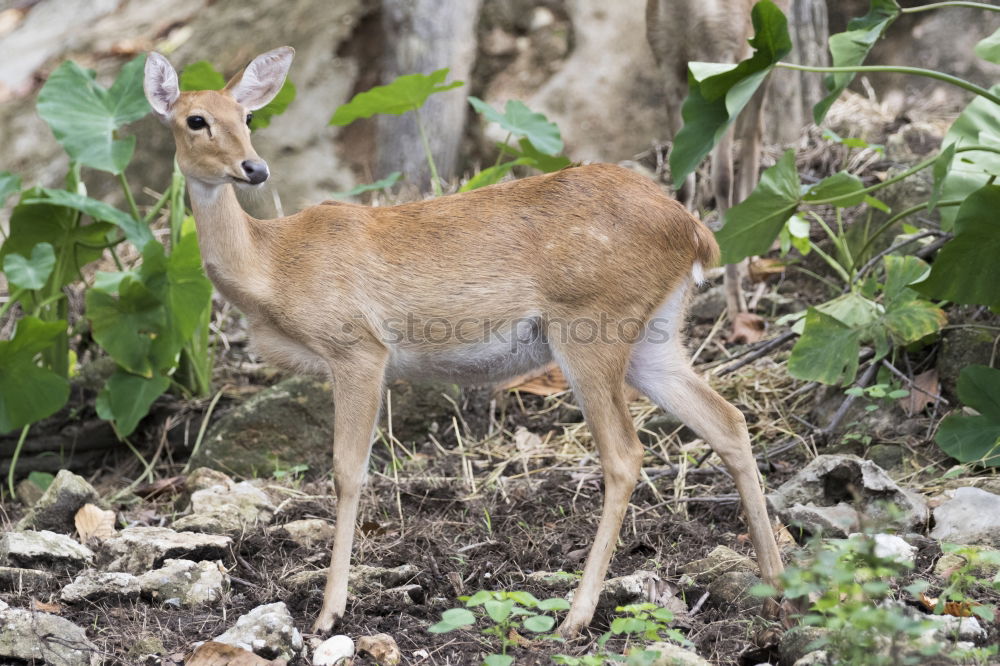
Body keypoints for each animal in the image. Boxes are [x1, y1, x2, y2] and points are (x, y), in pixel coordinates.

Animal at [143, 44, 780, 636]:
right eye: (196, 119)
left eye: (247, 117)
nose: (253, 168)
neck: (273, 267)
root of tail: (694, 231)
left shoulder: (358, 348)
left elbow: (348, 471)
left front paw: (328, 613)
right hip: (654, 336)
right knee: (727, 419)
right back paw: (773, 578)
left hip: (590, 328)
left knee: (625, 455)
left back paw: (575, 616)